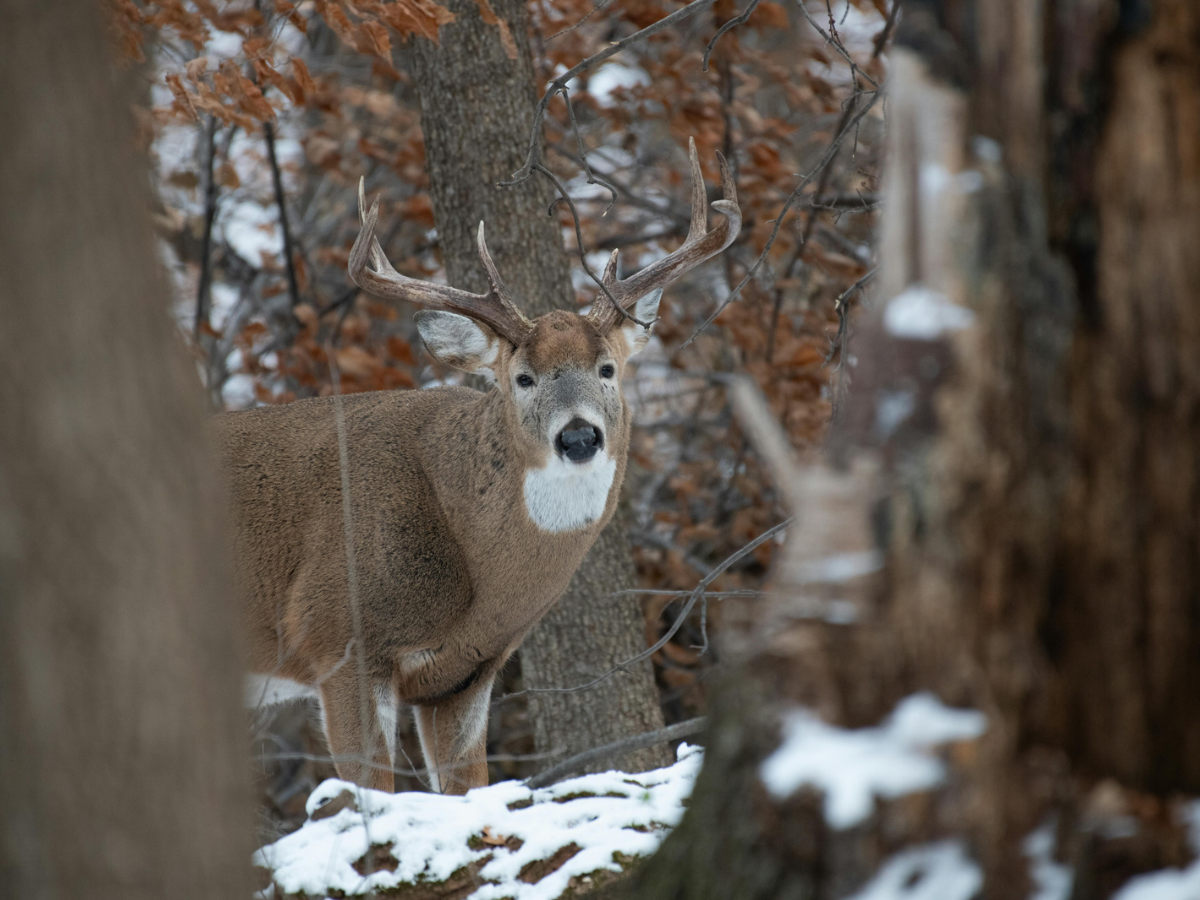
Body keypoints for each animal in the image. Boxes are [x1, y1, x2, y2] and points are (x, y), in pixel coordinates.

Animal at [216, 140, 740, 795]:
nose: (579, 436)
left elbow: (470, 789)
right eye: (523, 378)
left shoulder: (465, 675)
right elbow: (367, 793)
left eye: (607, 369)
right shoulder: (336, 638)